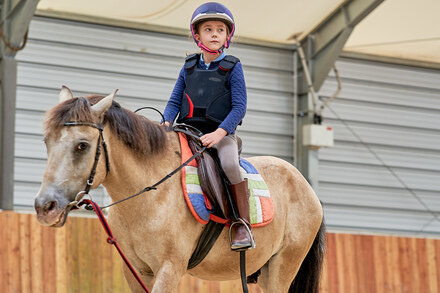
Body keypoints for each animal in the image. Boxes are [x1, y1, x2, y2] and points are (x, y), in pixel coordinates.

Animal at [33, 86, 324, 292]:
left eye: (82, 145)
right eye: (46, 141)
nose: (45, 207)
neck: (150, 194)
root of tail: (305, 185)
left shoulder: (169, 268)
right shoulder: (136, 271)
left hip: (282, 267)